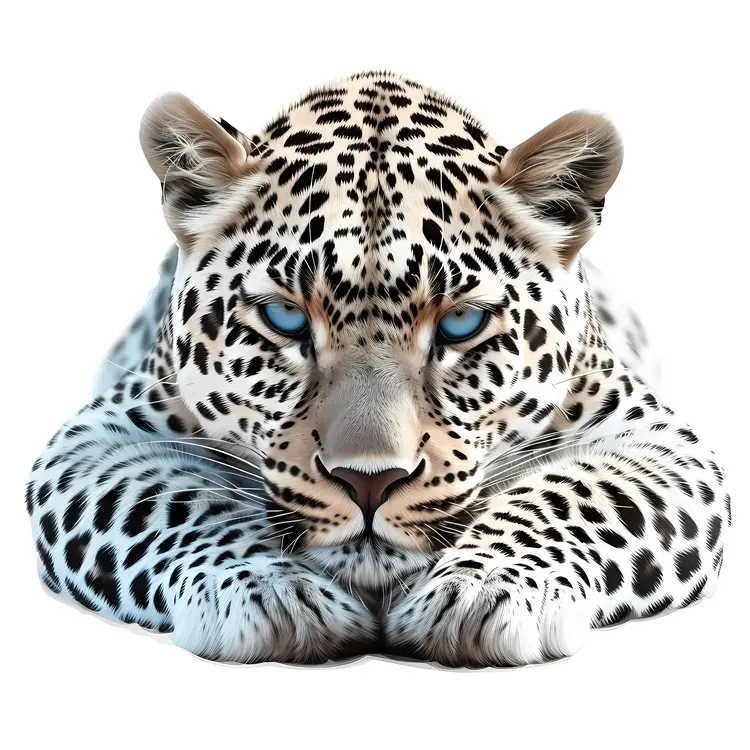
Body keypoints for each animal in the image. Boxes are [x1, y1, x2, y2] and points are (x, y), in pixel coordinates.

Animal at [26, 71, 730, 666]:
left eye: (460, 325)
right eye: (284, 318)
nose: (370, 482)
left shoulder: (659, 440)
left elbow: (573, 497)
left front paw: (483, 589)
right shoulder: (101, 438)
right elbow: (179, 503)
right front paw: (273, 591)